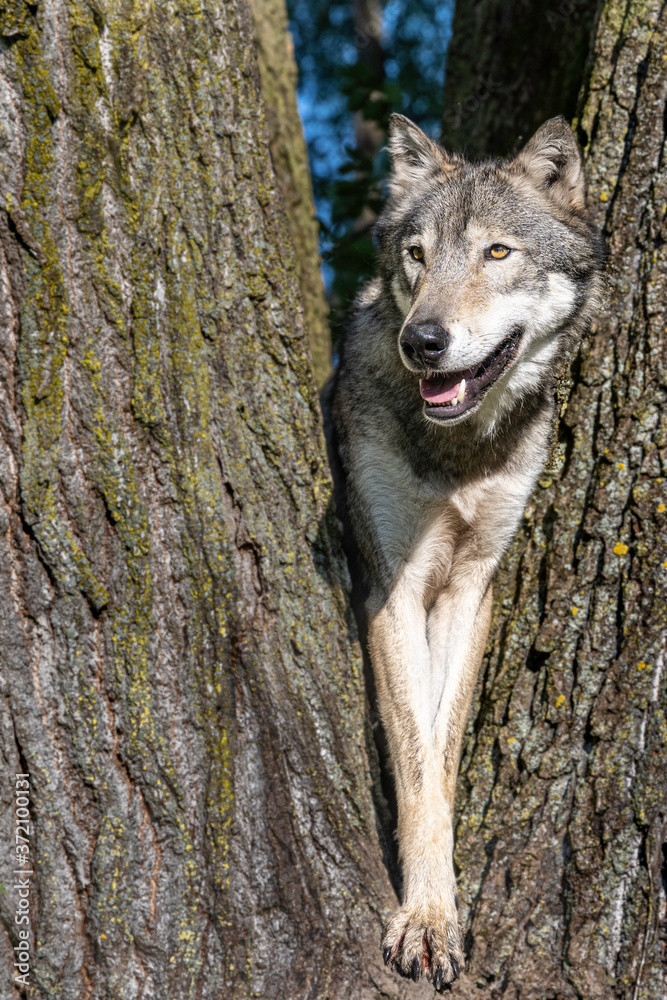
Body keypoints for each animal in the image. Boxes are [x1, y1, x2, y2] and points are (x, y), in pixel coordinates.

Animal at [329, 114, 604, 990]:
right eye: (417, 254)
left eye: (495, 252)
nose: (422, 341)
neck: (460, 450)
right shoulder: (393, 586)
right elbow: (417, 768)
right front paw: (425, 920)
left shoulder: (468, 589)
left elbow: (443, 758)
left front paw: (440, 910)